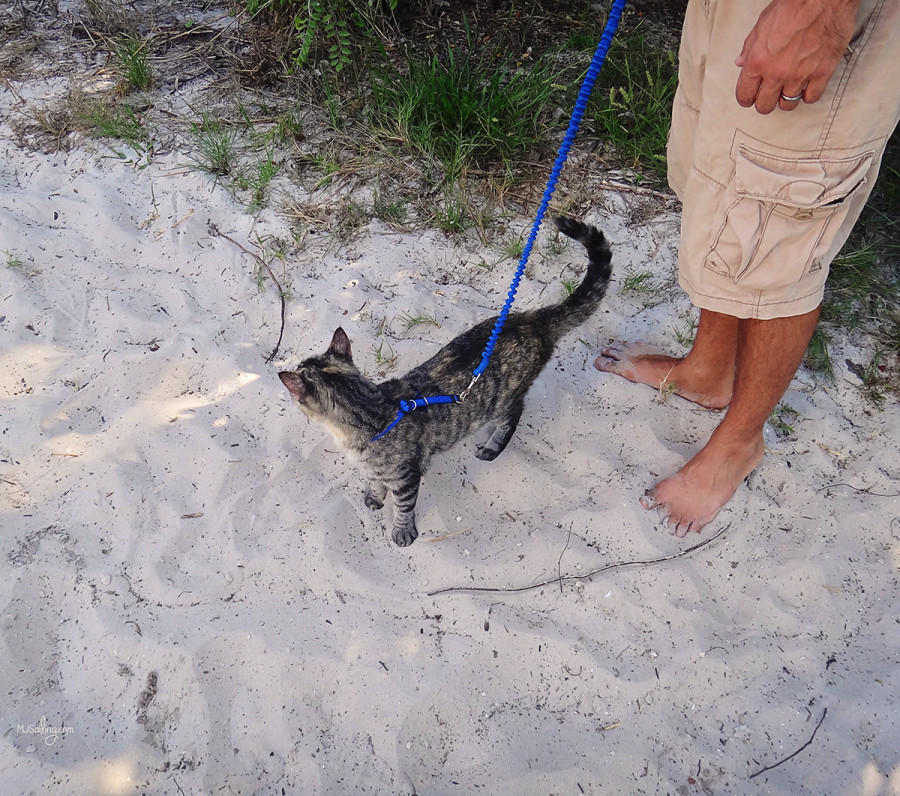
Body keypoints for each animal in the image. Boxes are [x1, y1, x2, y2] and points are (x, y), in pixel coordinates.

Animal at [280, 215, 612, 544]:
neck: (370, 412)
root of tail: (533, 319)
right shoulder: (374, 469)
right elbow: (374, 482)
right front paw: (374, 497)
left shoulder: (407, 477)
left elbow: (403, 506)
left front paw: (403, 530)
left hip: (502, 398)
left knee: (513, 415)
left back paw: (492, 446)